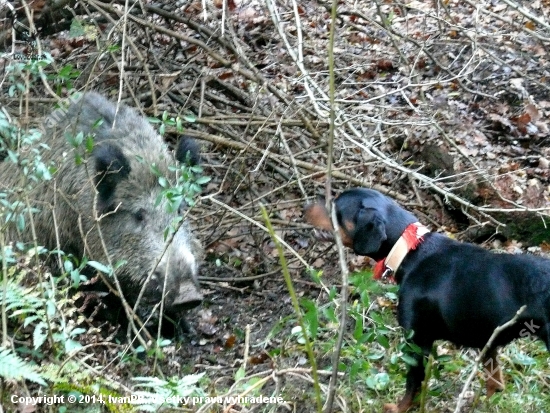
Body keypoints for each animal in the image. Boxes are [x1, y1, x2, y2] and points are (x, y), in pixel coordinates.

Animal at [306, 187, 550, 412]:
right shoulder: (487, 339)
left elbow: (413, 385)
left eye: (334, 206)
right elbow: (495, 380)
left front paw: (399, 408)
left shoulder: (417, 342)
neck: (410, 251)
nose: (306, 206)